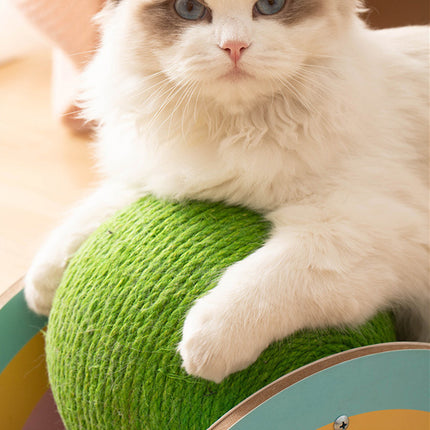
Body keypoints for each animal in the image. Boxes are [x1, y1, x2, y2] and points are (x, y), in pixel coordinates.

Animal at [24, 0, 430, 382]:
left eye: (271, 5)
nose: (234, 46)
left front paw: (206, 343)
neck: (237, 130)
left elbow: (266, 277)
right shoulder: (165, 175)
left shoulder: (358, 229)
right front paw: (40, 287)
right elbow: (90, 215)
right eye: (189, 8)